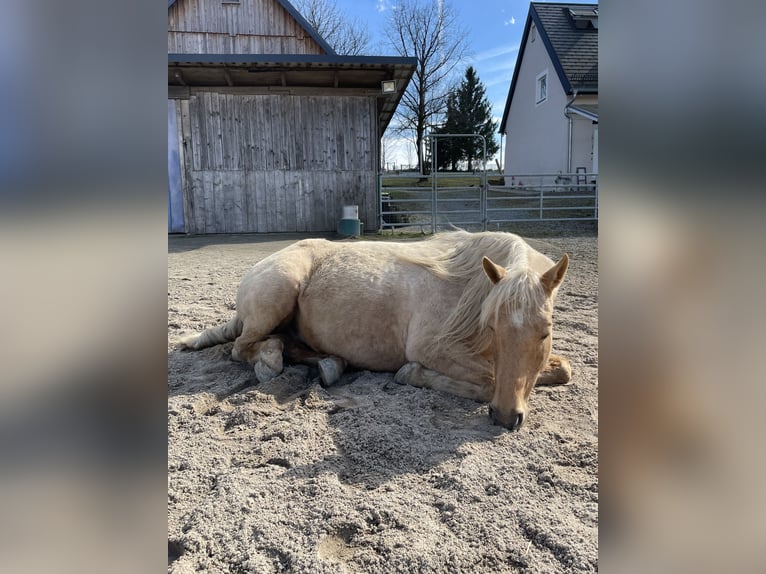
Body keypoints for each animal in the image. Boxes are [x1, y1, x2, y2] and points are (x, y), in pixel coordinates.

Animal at [179, 230, 571, 431]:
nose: (505, 417)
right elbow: (489, 379)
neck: (469, 286)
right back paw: (269, 361)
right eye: (492, 327)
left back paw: (331, 365)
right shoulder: (432, 348)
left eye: (545, 332)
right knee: (245, 347)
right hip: (277, 294)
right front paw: (411, 375)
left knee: (291, 346)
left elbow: (562, 370)